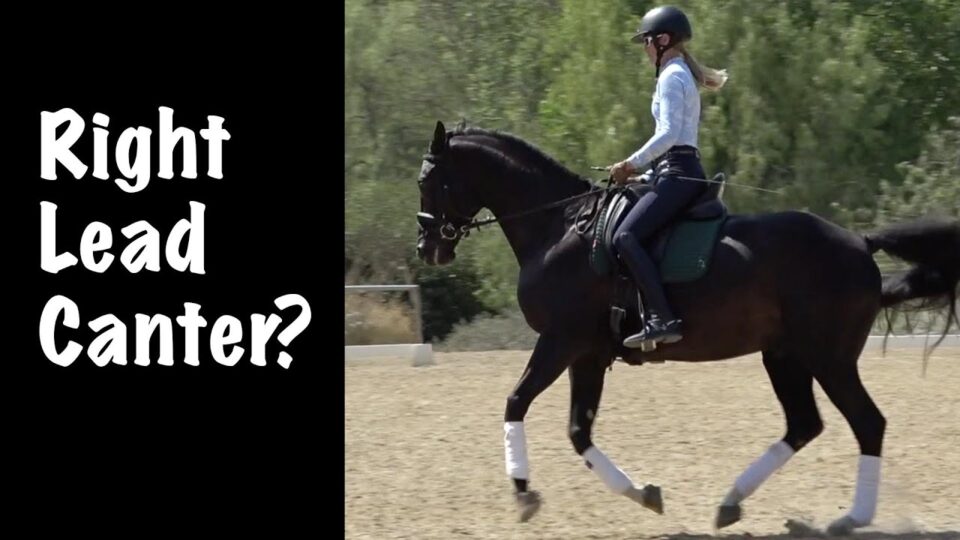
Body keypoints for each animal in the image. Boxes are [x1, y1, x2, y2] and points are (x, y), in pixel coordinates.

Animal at [414, 120, 959, 535]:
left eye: (427, 181)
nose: (428, 249)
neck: (560, 227)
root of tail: (858, 242)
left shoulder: (560, 342)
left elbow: (516, 403)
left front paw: (524, 494)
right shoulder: (588, 353)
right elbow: (578, 431)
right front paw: (645, 494)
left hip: (829, 358)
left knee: (867, 423)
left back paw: (852, 517)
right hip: (785, 355)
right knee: (805, 424)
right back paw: (731, 502)